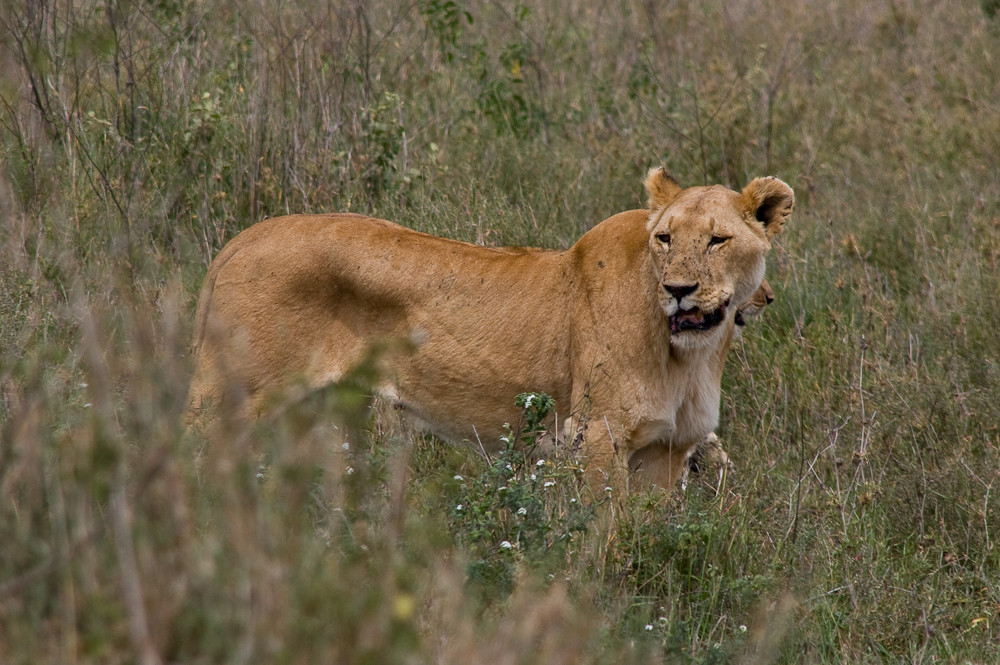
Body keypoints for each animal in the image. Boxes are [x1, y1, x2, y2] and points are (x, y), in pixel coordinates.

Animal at [188, 170, 792, 492]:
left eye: (717, 240)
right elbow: (608, 543)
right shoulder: (599, 436)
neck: (692, 356)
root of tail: (237, 242)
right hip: (230, 400)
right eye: (665, 238)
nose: (678, 289)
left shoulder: (668, 450)